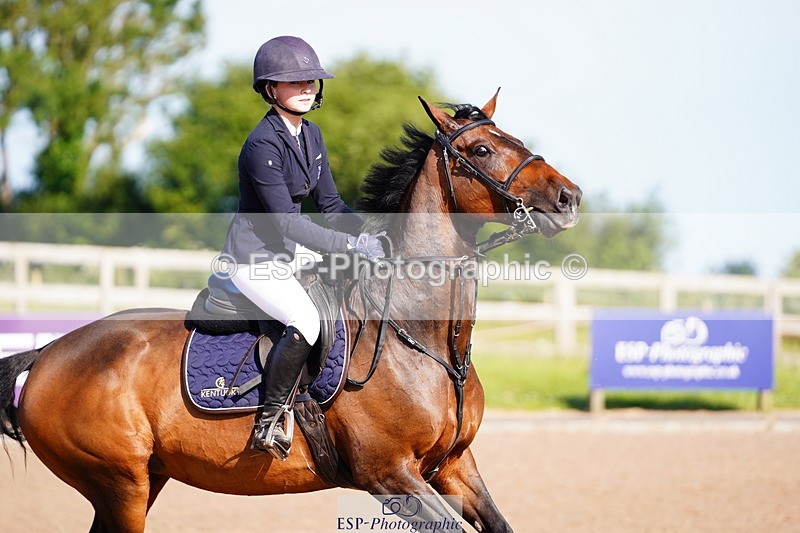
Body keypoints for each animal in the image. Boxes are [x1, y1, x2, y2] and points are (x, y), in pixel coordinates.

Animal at [0, 92, 581, 532]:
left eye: (516, 141)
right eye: (481, 150)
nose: (569, 198)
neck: (425, 339)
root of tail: (48, 353)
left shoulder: (455, 466)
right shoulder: (390, 474)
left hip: (142, 482)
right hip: (120, 485)